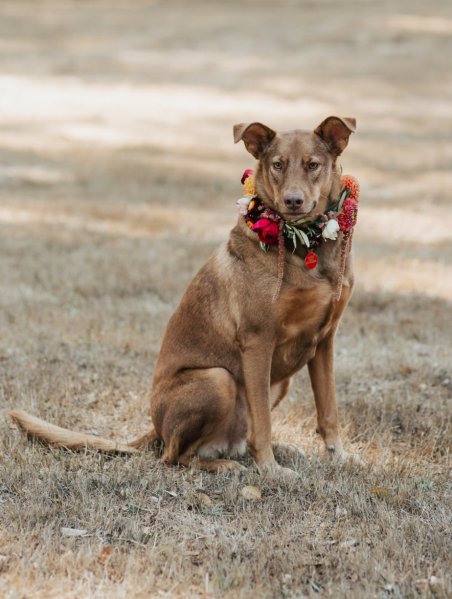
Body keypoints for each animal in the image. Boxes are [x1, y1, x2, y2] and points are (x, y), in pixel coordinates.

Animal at [8, 117, 356, 480]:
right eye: (278, 165)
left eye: (313, 165)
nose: (293, 201)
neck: (307, 246)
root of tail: (155, 428)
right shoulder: (259, 340)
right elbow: (262, 420)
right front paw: (271, 470)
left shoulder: (325, 340)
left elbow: (328, 410)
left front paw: (339, 457)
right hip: (218, 379)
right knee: (175, 456)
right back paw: (225, 464)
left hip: (277, 382)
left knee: (233, 440)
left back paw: (277, 449)